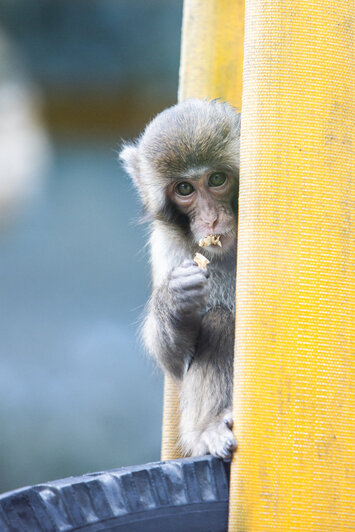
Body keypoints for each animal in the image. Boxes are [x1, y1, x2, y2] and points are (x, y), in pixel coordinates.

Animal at [120, 101, 242, 462]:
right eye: (185, 188)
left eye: (216, 179)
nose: (211, 219)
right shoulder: (167, 247)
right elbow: (173, 362)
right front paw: (175, 300)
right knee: (219, 321)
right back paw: (208, 429)